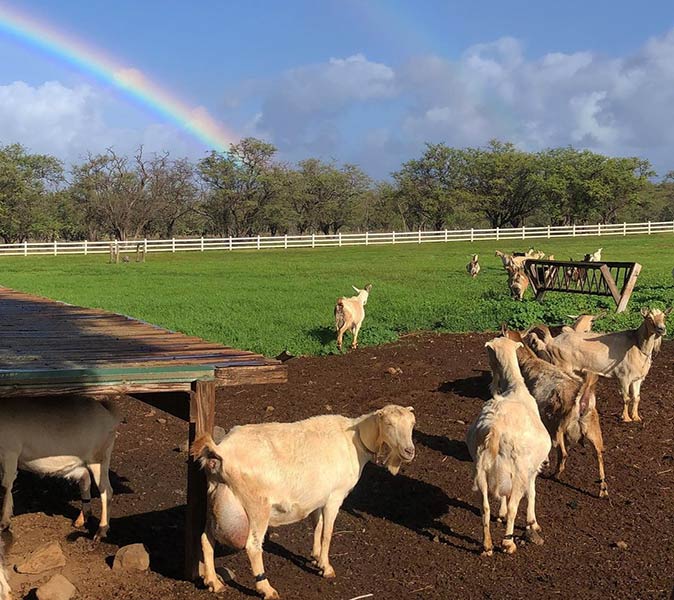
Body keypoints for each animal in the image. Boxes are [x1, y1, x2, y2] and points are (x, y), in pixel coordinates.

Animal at [0, 397, 120, 540]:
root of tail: (108, 413)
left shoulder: (9, 452)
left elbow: (5, 486)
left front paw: (3, 523)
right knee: (85, 477)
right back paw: (81, 520)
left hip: (99, 457)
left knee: (106, 490)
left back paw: (100, 531)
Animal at [192, 405, 416, 599]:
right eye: (389, 424)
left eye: (413, 424)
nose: (409, 451)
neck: (353, 440)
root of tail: (220, 451)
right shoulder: (335, 496)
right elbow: (327, 533)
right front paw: (326, 567)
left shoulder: (318, 497)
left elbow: (317, 526)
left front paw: (315, 557)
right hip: (256, 506)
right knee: (253, 546)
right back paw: (266, 588)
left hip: (216, 497)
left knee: (206, 537)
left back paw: (213, 582)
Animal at [467, 337, 551, 556]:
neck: (514, 389)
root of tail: (495, 428)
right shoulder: (531, 469)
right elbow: (532, 493)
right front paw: (532, 523)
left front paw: (501, 514)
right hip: (518, 470)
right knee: (514, 505)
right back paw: (508, 543)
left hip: (481, 470)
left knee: (485, 507)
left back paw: (487, 545)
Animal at [499, 327, 608, 497]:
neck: (529, 362)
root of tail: (582, 401)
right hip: (593, 429)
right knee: (599, 454)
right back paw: (603, 489)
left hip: (559, 427)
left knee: (563, 453)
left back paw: (554, 475)